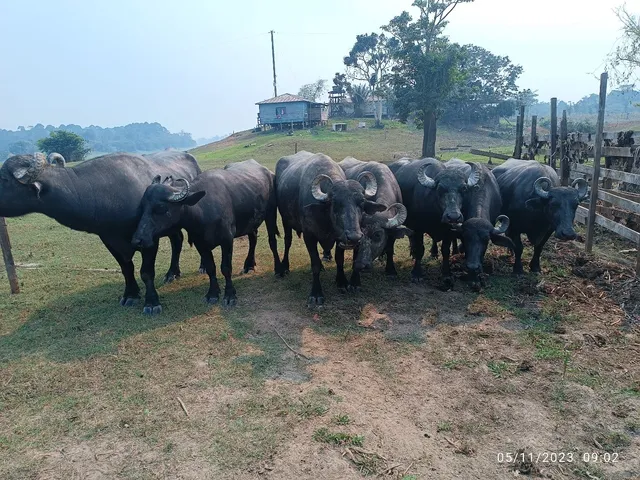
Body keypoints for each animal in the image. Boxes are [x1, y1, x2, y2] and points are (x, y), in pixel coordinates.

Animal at [0, 151, 201, 314]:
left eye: (4, 180)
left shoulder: (148, 240)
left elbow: (146, 272)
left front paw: (151, 303)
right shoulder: (108, 239)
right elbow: (126, 268)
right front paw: (130, 294)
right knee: (177, 240)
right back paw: (172, 273)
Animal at [131, 159, 282, 308]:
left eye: (161, 208)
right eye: (142, 207)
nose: (138, 240)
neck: (203, 210)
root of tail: (268, 172)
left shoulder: (227, 240)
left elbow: (226, 268)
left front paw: (229, 295)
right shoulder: (200, 244)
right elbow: (210, 268)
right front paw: (213, 293)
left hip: (271, 213)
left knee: (272, 241)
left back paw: (279, 269)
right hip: (251, 222)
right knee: (253, 238)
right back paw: (249, 265)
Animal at [275, 151, 389, 305]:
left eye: (361, 203)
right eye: (336, 203)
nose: (354, 237)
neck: (326, 219)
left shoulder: (339, 238)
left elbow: (339, 259)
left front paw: (342, 282)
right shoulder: (309, 236)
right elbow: (315, 264)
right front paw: (316, 294)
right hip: (285, 220)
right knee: (288, 241)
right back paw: (284, 267)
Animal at [391, 157, 480, 288]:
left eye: (464, 188)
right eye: (440, 189)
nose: (453, 217)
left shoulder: (448, 231)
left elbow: (445, 251)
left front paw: (446, 274)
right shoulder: (418, 228)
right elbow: (420, 249)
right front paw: (416, 274)